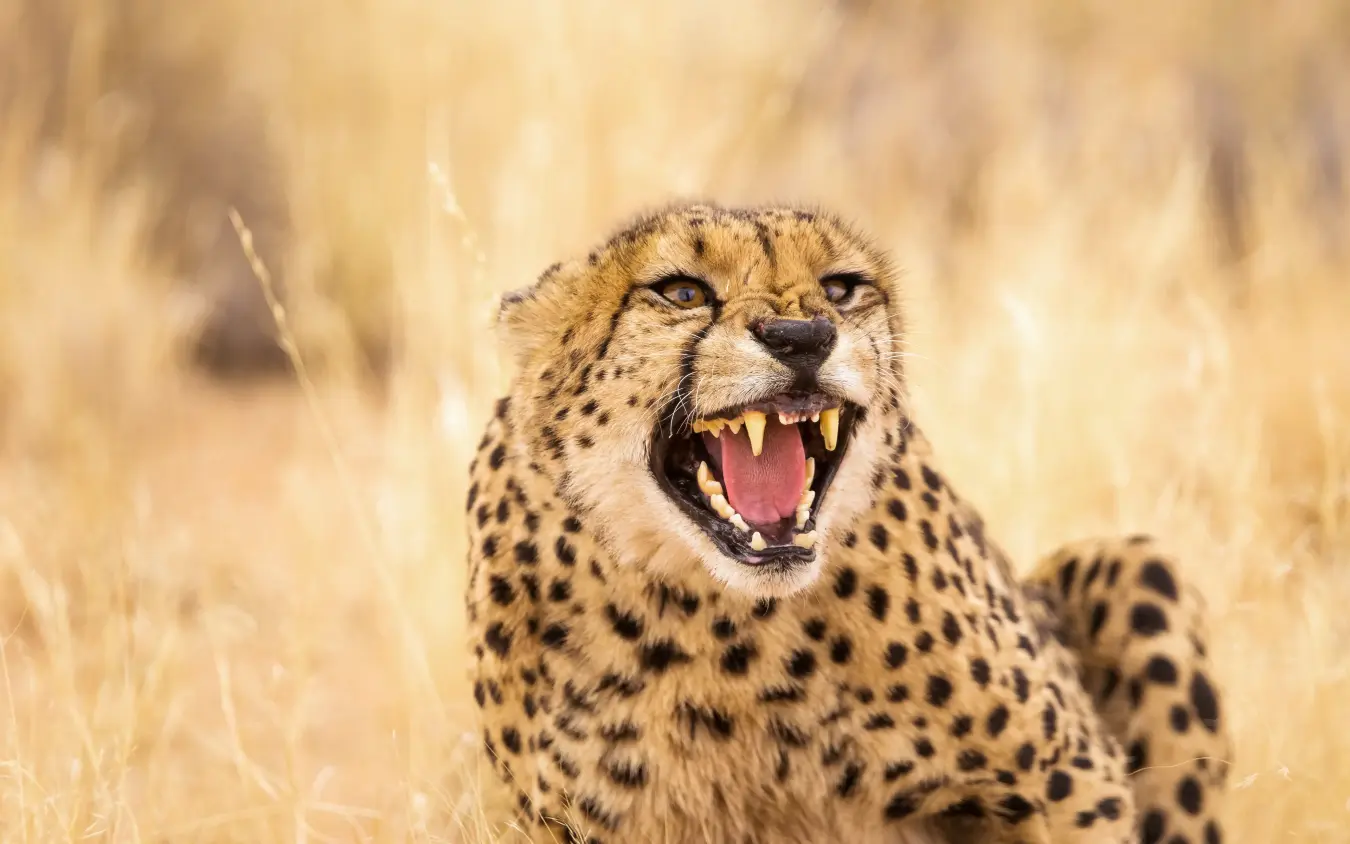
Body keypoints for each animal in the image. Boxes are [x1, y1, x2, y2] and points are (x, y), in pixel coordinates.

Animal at [464, 202, 1231, 843]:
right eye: (682, 292)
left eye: (839, 288)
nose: (801, 336)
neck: (723, 628)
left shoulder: (1068, 776)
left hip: (1135, 563)